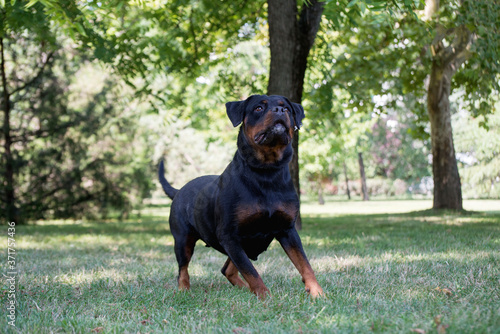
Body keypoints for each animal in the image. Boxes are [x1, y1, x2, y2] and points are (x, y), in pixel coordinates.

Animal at [159, 95, 324, 298]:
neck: (266, 172)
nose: (279, 111)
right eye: (259, 108)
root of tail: (179, 190)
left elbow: (305, 264)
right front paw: (265, 296)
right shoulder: (229, 235)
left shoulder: (287, 230)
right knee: (183, 269)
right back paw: (184, 290)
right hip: (183, 240)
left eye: (287, 109)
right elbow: (251, 271)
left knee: (227, 269)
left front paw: (317, 292)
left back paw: (244, 288)